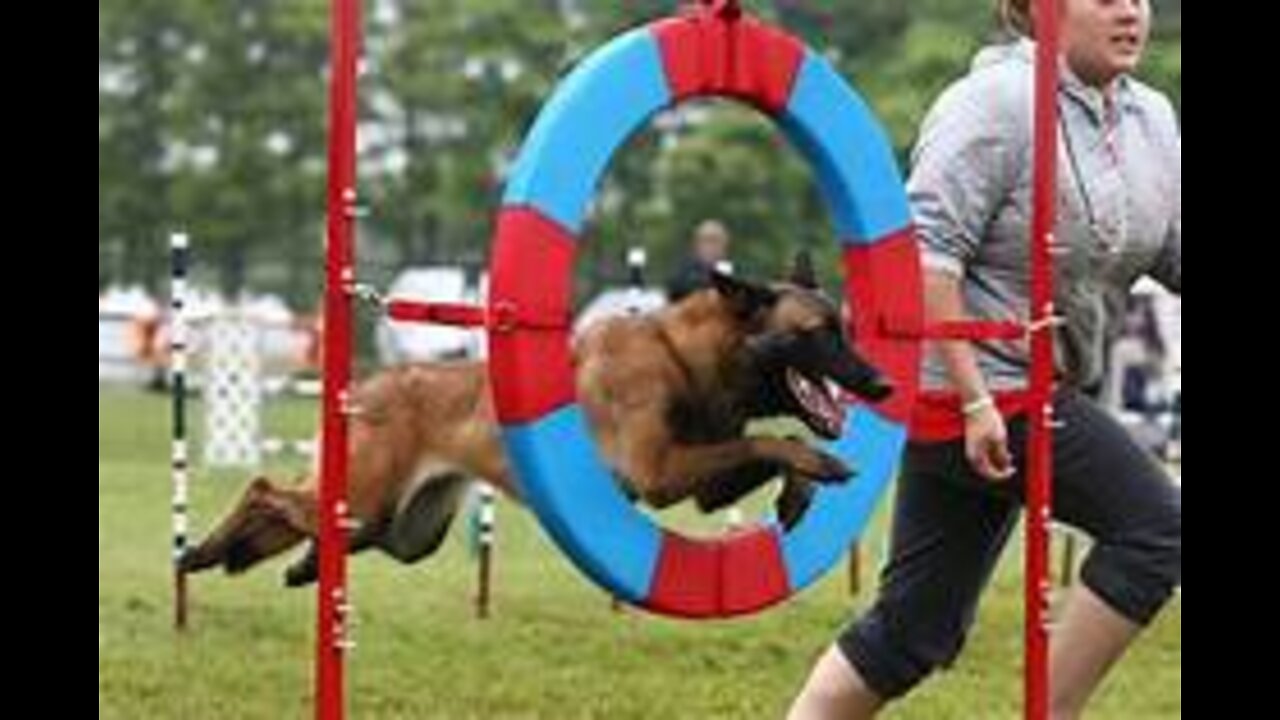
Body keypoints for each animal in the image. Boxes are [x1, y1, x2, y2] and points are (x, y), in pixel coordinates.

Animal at [180, 251, 890, 584]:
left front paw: (800, 491)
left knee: (311, 527)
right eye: (818, 333)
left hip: (401, 531)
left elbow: (774, 441)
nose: (880, 383)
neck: (686, 357)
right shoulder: (663, 474)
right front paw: (820, 467)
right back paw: (200, 552)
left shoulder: (704, 484)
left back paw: (291, 566)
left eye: (843, 328)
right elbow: (776, 442)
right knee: (263, 488)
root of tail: (368, 387)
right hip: (364, 498)